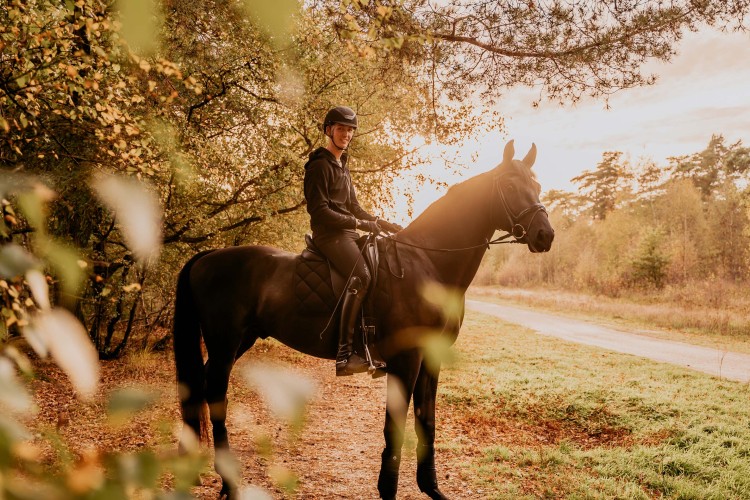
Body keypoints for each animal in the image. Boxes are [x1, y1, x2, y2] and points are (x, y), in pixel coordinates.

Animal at [173, 139, 556, 498]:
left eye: (537, 185)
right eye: (510, 185)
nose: (545, 235)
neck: (428, 265)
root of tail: (207, 256)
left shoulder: (431, 358)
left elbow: (426, 421)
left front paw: (431, 488)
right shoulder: (406, 360)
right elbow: (395, 427)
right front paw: (388, 490)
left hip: (240, 340)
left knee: (199, 388)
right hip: (226, 343)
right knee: (215, 394)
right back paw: (227, 481)